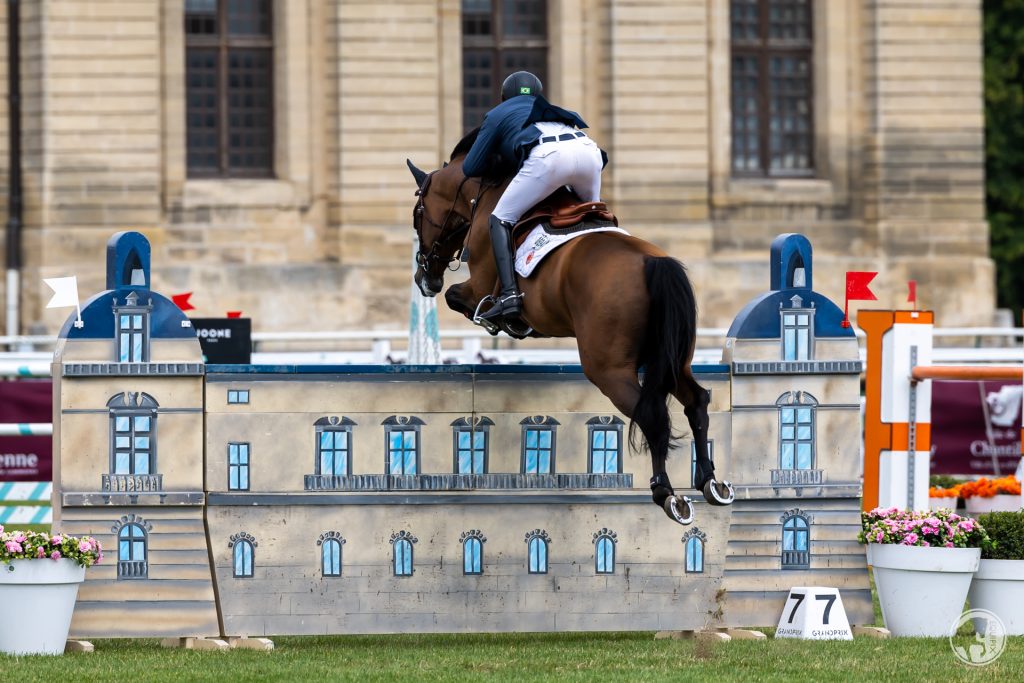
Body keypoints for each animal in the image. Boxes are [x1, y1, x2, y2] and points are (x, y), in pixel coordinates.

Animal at [403, 136, 733, 528]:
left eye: (418, 214)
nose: (425, 278)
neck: (483, 193)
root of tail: (654, 262)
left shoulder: (478, 285)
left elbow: (460, 299)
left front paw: (502, 318)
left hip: (608, 370)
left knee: (652, 417)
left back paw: (667, 494)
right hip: (671, 362)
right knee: (696, 402)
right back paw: (710, 482)